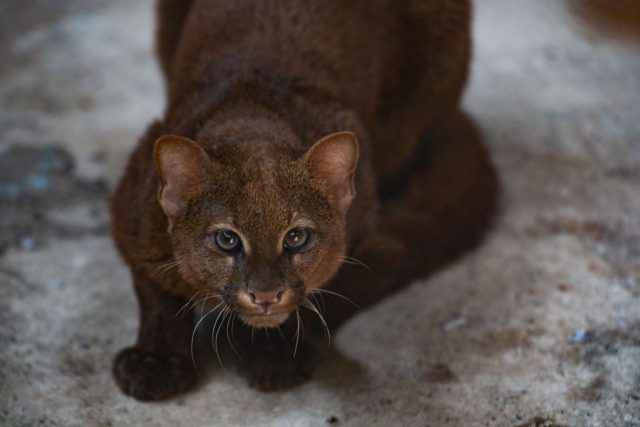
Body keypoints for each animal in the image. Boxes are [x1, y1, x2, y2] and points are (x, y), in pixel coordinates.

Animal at [110, 0, 497, 400]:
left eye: (296, 237)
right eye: (227, 239)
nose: (266, 295)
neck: (251, 110)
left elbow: (331, 286)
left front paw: (276, 351)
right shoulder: (132, 218)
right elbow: (155, 291)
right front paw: (155, 359)